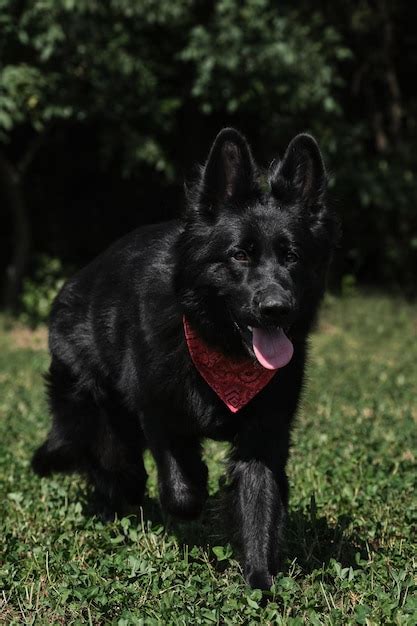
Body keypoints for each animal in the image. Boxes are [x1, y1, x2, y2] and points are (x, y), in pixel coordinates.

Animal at [32, 129, 338, 588]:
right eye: (239, 255)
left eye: (293, 256)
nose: (276, 309)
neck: (220, 349)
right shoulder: (157, 411)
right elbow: (182, 491)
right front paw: (194, 493)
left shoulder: (264, 436)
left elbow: (260, 507)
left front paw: (261, 582)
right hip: (93, 410)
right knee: (111, 462)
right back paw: (120, 497)